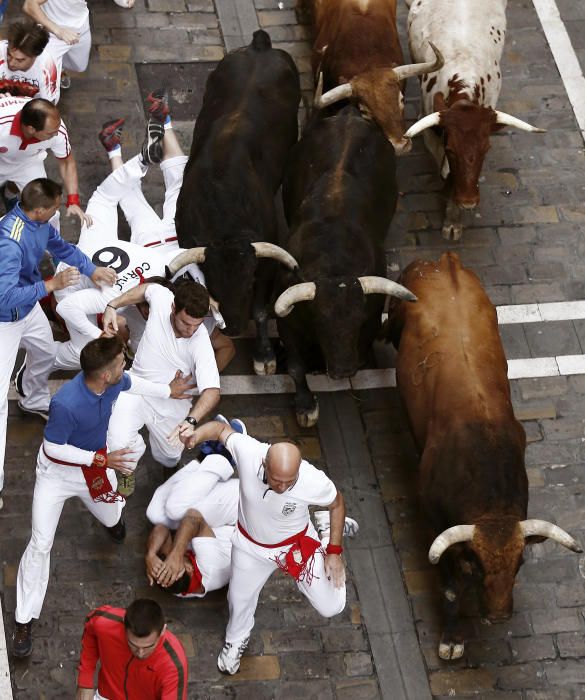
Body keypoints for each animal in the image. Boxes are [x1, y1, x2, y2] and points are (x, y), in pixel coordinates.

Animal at [170, 31, 298, 378]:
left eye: (249, 280)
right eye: (213, 281)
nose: (236, 327)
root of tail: (260, 45)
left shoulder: (267, 258)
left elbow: (261, 309)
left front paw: (264, 356)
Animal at [274, 105, 416, 426]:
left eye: (358, 320)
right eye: (319, 321)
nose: (342, 371)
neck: (333, 262)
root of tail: (349, 114)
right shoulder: (287, 320)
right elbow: (295, 366)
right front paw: (306, 406)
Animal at [388, 253, 580, 660]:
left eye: (520, 563)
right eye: (476, 566)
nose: (499, 615)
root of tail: (445, 262)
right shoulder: (435, 523)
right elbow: (449, 588)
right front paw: (452, 638)